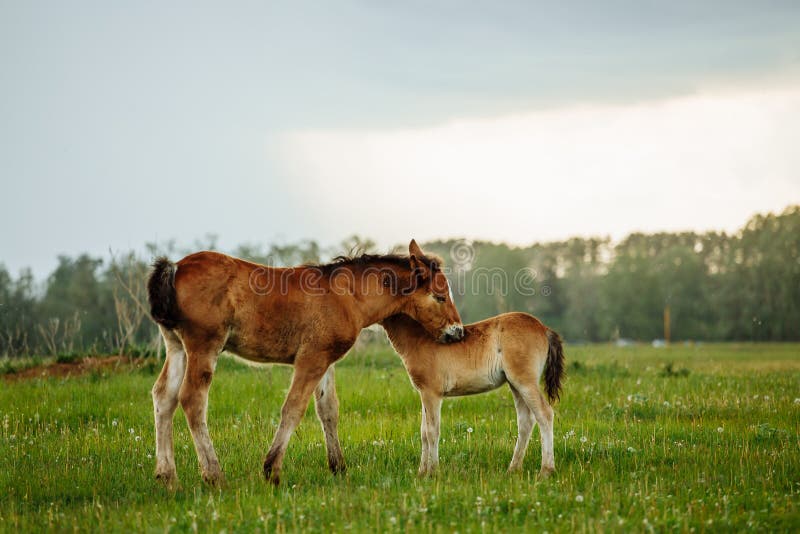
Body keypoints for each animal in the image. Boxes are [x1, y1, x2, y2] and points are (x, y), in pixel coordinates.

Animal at [146, 240, 464, 487]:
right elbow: (293, 408)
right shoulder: (311, 359)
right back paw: (214, 475)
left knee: (164, 397)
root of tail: (175, 268)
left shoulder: (325, 360)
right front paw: (272, 470)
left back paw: (167, 476)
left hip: (177, 347)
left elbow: (328, 410)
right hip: (204, 346)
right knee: (192, 399)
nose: (457, 332)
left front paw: (339, 468)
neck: (348, 296)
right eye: (439, 296)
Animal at [380, 312, 565, 477]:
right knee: (526, 420)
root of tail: (543, 328)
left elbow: (432, 431)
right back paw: (513, 469)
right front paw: (421, 472)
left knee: (544, 414)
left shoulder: (431, 393)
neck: (419, 339)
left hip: (525, 382)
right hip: (515, 385)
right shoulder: (424, 394)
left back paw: (546, 470)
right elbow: (424, 432)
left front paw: (432, 472)